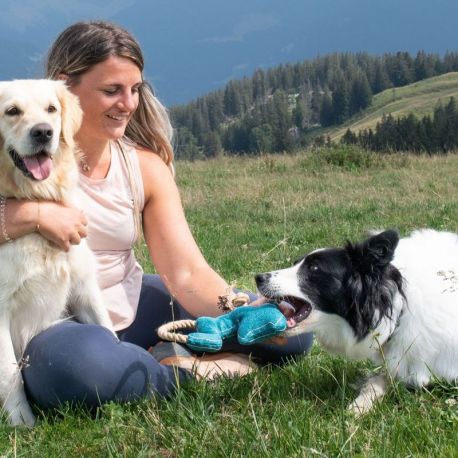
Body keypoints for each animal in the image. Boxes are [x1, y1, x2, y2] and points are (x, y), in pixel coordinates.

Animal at [0, 80, 113, 428]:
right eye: (12, 111)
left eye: (51, 109)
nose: (43, 132)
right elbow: (10, 373)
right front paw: (21, 421)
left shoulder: (83, 287)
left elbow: (109, 331)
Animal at [256, 231, 458, 414]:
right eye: (295, 263)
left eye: (314, 268)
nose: (258, 277)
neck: (398, 308)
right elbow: (376, 380)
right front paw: (361, 404)